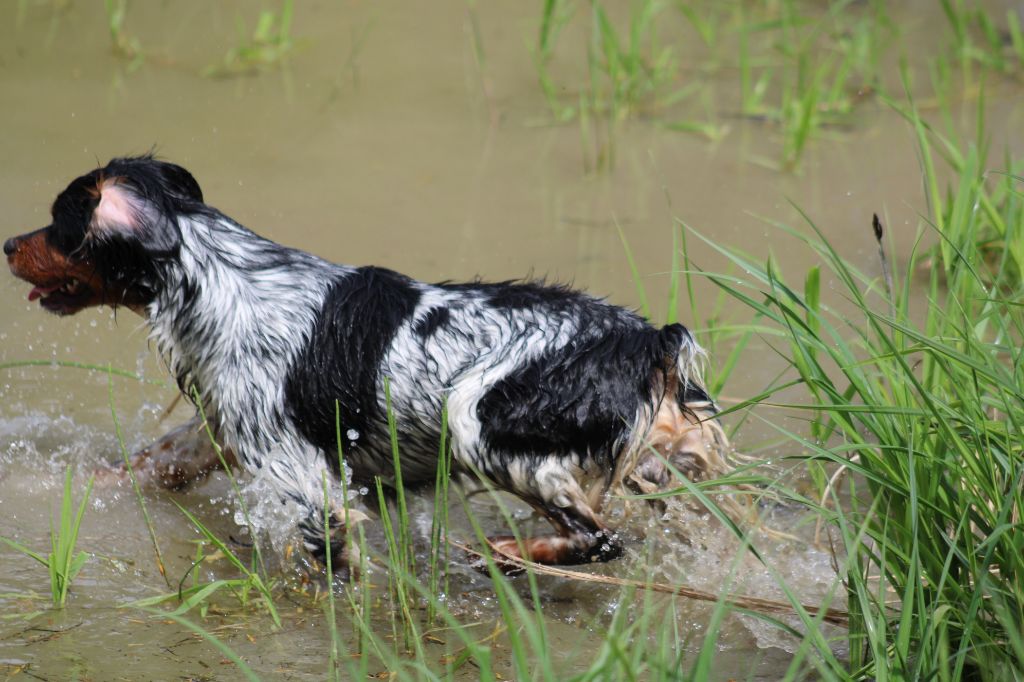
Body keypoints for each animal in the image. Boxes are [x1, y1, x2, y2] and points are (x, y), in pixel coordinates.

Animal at [4, 156, 733, 565]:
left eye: (59, 224)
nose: (9, 243)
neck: (225, 278)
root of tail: (648, 341)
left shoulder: (308, 487)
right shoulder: (218, 431)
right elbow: (132, 470)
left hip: (477, 419)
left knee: (600, 540)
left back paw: (501, 557)